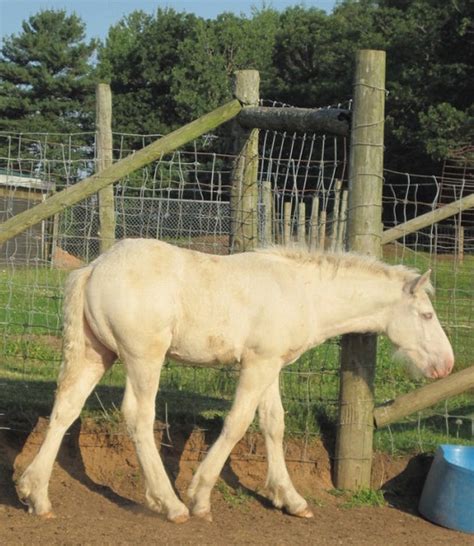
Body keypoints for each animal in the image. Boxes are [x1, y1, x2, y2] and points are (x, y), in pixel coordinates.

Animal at [17, 240, 456, 520]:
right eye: (427, 315)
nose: (447, 364)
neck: (303, 291)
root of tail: (92, 268)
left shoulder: (271, 364)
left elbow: (273, 425)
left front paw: (290, 499)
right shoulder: (256, 364)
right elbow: (237, 424)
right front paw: (200, 497)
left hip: (96, 354)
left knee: (65, 410)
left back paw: (34, 495)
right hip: (145, 358)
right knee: (138, 417)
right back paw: (170, 505)